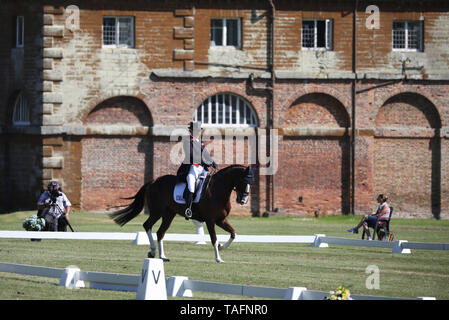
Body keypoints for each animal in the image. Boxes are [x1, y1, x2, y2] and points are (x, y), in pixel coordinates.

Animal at [108, 165, 256, 262]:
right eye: (244, 180)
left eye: (251, 182)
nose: (243, 200)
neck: (217, 190)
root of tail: (153, 181)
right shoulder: (210, 221)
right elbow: (214, 239)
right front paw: (218, 258)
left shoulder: (221, 220)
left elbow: (233, 233)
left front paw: (222, 247)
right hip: (157, 212)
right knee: (147, 225)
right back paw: (153, 250)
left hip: (169, 214)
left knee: (160, 232)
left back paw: (162, 256)